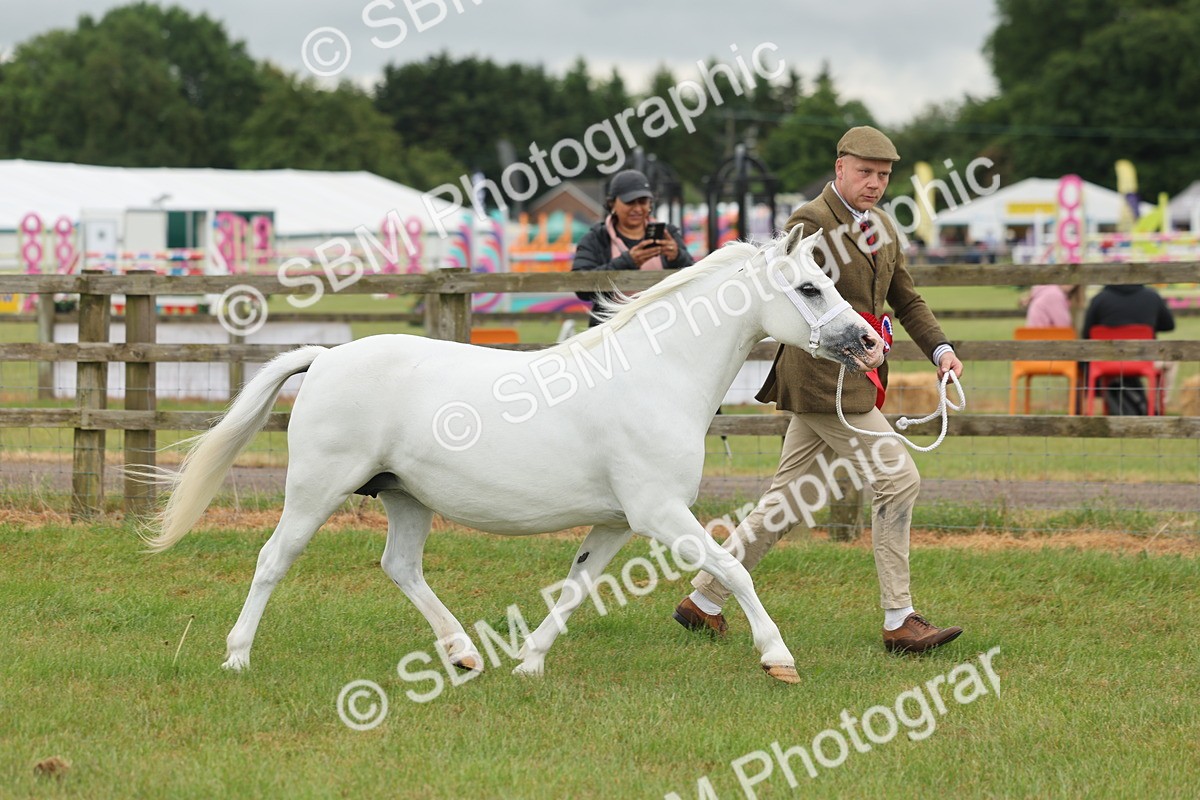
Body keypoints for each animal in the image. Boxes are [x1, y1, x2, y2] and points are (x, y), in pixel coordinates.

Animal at [145, 225, 885, 684]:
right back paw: (237, 658)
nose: (870, 344)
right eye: (811, 288)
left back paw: (465, 654)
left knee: (401, 567)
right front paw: (778, 658)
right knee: (274, 560)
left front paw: (529, 661)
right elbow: (733, 568)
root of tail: (325, 357)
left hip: (405, 496)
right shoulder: (660, 514)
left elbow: (577, 586)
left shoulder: (615, 523)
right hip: (316, 489)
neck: (656, 374)